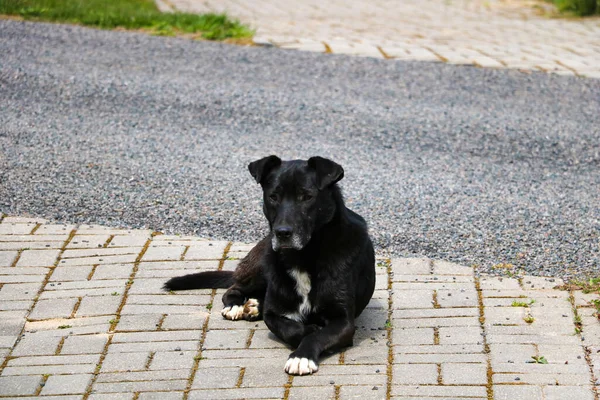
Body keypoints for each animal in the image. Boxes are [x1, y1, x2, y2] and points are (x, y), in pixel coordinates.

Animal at [164, 156, 376, 376]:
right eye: (274, 197)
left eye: (307, 197)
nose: (282, 232)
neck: (304, 256)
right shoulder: (274, 314)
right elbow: (290, 328)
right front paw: (306, 331)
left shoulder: (343, 321)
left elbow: (317, 335)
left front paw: (302, 356)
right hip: (262, 265)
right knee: (234, 288)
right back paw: (236, 306)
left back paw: (253, 306)